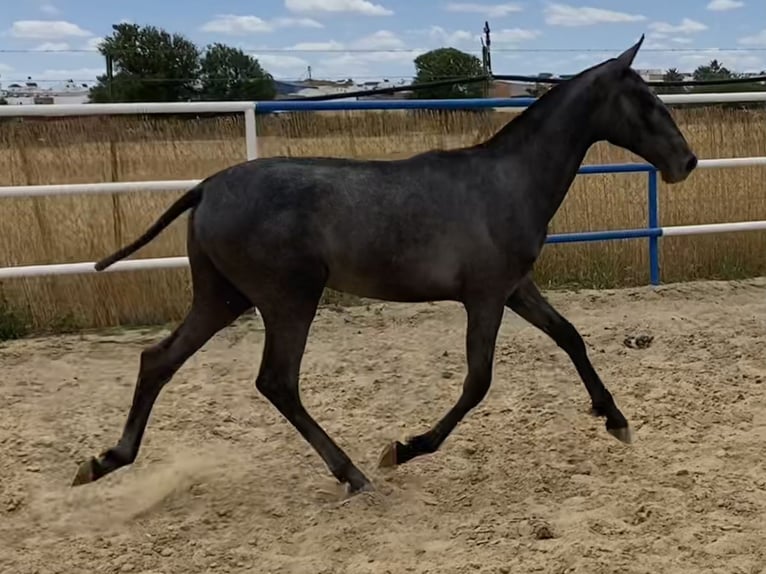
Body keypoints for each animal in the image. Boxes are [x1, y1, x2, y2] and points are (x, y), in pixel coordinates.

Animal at [73, 36, 704, 496]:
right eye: (647, 102)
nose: (687, 161)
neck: (507, 182)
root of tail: (206, 188)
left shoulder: (515, 287)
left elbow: (570, 336)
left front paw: (616, 420)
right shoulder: (485, 295)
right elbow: (478, 381)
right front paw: (403, 449)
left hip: (223, 296)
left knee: (159, 360)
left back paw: (104, 460)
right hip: (287, 299)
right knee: (276, 381)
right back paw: (353, 473)